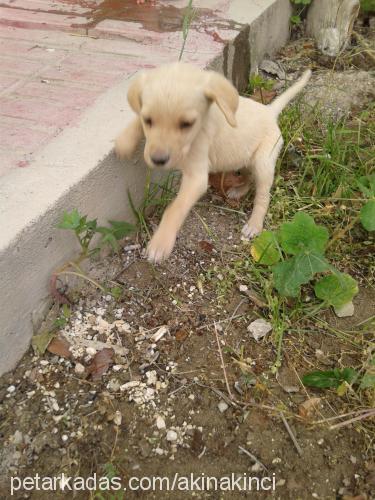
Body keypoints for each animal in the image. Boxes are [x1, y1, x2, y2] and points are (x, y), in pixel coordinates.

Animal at [117, 63, 312, 262]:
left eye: (187, 124)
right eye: (148, 120)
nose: (158, 160)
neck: (202, 125)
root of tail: (269, 111)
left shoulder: (196, 177)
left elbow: (175, 208)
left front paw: (160, 243)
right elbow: (136, 118)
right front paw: (124, 141)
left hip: (263, 162)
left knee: (263, 196)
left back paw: (254, 224)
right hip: (245, 158)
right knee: (249, 177)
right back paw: (239, 191)